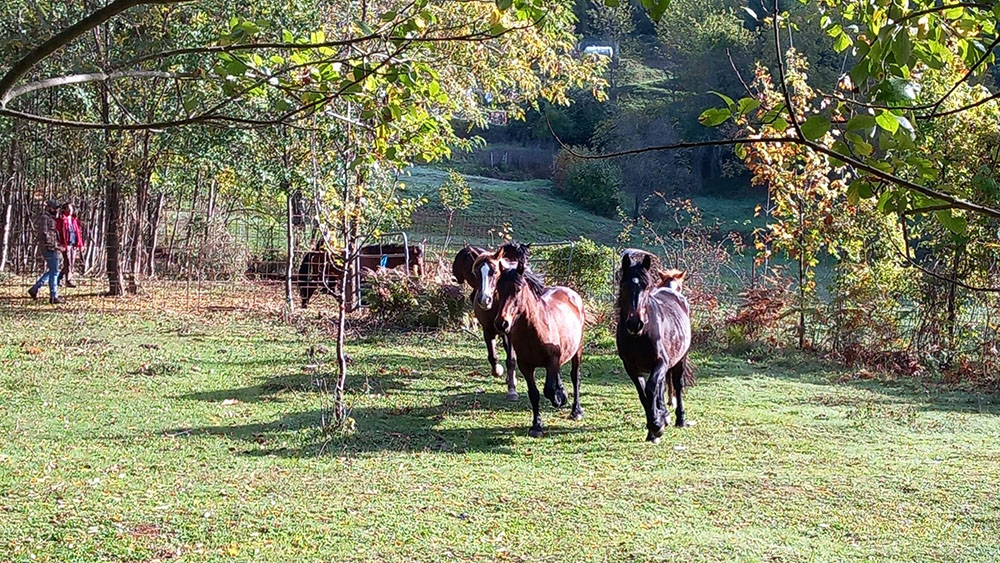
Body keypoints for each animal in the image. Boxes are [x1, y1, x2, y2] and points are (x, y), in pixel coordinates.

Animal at [456, 244, 518, 401]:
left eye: (495, 271)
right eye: (476, 272)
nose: (485, 300)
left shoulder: (510, 333)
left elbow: (511, 360)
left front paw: (512, 390)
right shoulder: (487, 330)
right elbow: (493, 356)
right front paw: (498, 370)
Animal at [488, 245, 585, 437]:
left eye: (517, 289)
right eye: (498, 290)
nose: (501, 323)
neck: (534, 331)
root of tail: (571, 293)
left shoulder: (552, 361)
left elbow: (548, 389)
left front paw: (559, 399)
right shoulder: (526, 366)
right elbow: (534, 393)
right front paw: (536, 426)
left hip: (577, 351)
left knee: (574, 376)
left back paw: (575, 410)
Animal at [615, 251, 693, 443]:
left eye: (646, 286)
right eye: (623, 285)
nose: (635, 324)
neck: (640, 336)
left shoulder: (661, 363)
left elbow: (651, 389)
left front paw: (657, 426)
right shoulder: (631, 367)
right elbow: (644, 393)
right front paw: (654, 426)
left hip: (680, 359)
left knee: (677, 385)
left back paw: (680, 419)